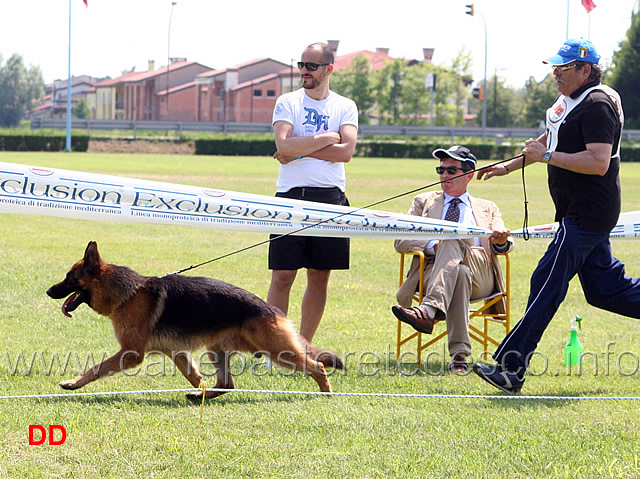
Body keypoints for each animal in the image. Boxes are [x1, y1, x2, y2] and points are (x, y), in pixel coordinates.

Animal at [47, 240, 342, 402]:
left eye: (69, 278)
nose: (49, 291)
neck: (128, 294)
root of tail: (273, 310)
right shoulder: (177, 352)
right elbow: (194, 376)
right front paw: (198, 390)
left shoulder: (130, 353)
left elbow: (97, 367)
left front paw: (73, 383)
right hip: (217, 349)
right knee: (227, 384)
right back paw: (200, 396)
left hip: (277, 351)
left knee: (317, 366)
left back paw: (326, 394)